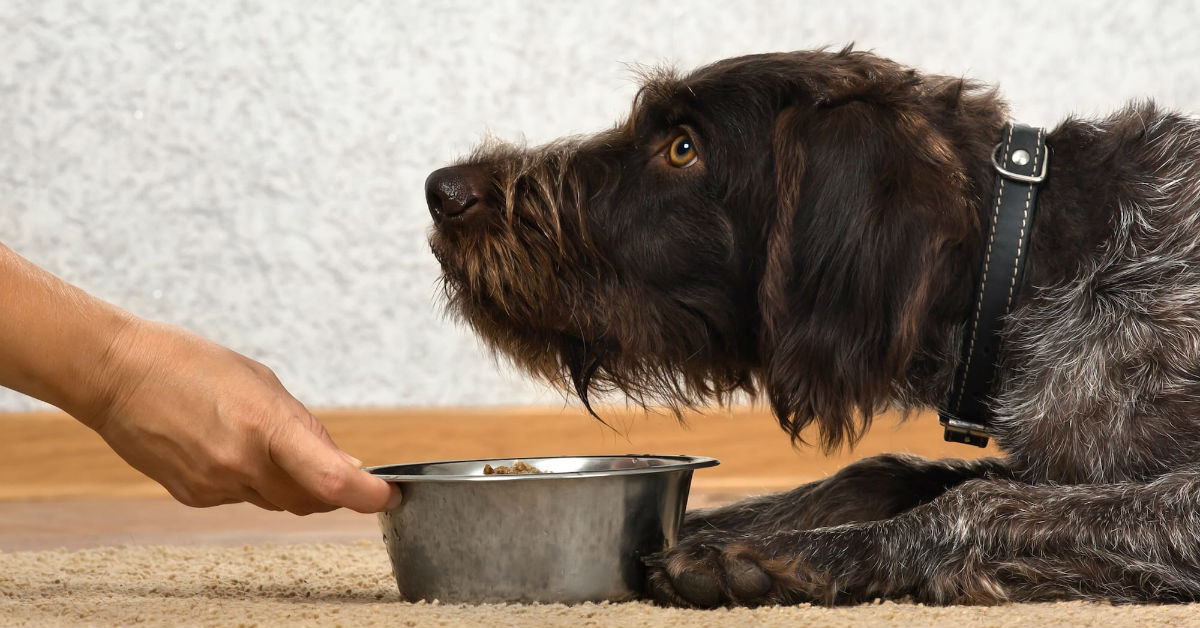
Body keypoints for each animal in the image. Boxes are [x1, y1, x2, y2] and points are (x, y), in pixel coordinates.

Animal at [420, 46, 1200, 607]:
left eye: (682, 148)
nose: (442, 190)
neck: (1028, 260)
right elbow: (883, 471)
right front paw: (707, 523)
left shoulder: (1171, 503)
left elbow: (980, 501)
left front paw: (777, 555)